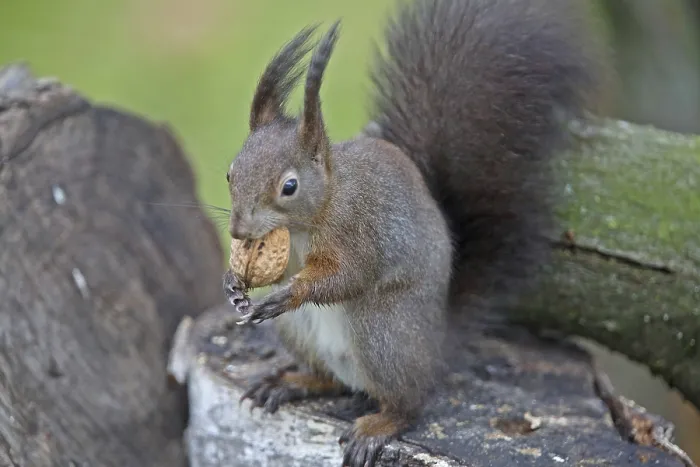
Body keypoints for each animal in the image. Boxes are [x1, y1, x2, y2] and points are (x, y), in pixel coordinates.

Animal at [222, 0, 602, 465]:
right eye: (230, 173)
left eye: (288, 186)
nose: (238, 228)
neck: (313, 213)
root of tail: (436, 346)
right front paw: (235, 282)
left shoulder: (359, 231)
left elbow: (347, 276)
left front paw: (288, 293)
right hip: (304, 335)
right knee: (334, 381)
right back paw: (292, 383)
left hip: (384, 334)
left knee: (409, 402)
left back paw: (378, 425)